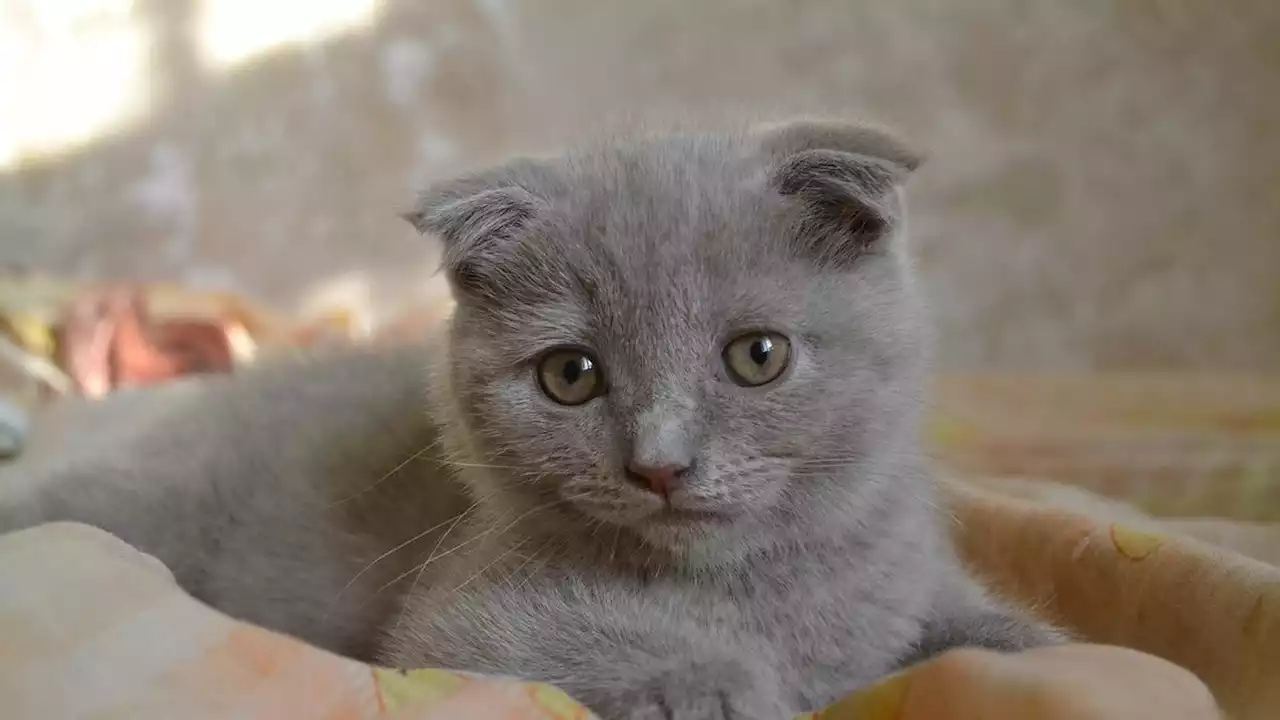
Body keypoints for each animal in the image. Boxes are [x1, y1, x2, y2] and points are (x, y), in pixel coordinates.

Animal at [0, 120, 1059, 712]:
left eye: (757, 356)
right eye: (570, 375)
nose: (660, 464)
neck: (751, 591)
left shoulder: (904, 576)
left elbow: (1001, 639)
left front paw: (1025, 648)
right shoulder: (455, 632)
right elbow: (581, 642)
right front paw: (725, 687)